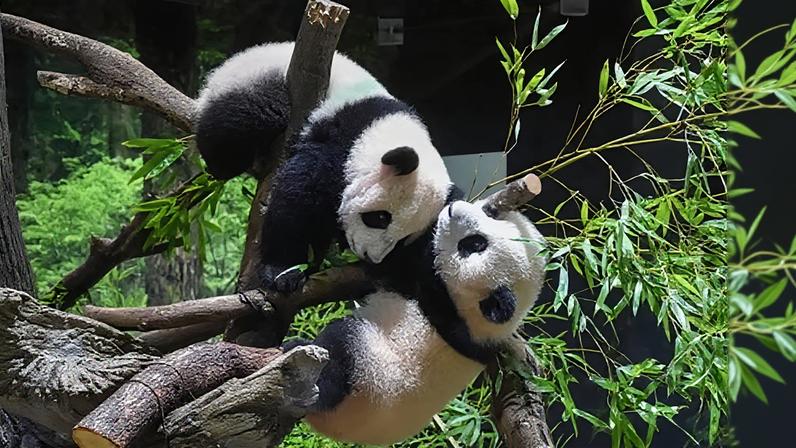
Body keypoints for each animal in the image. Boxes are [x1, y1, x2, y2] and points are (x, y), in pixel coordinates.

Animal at [195, 42, 452, 292]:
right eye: (380, 218)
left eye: (403, 239)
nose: (370, 256)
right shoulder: (341, 141)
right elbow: (298, 196)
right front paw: (284, 272)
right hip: (253, 81)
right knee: (245, 119)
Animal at [290, 198, 546, 446]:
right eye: (490, 217)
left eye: (474, 244)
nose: (453, 210)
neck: (473, 317)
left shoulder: (434, 296)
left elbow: (395, 265)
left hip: (367, 376)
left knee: (339, 352)